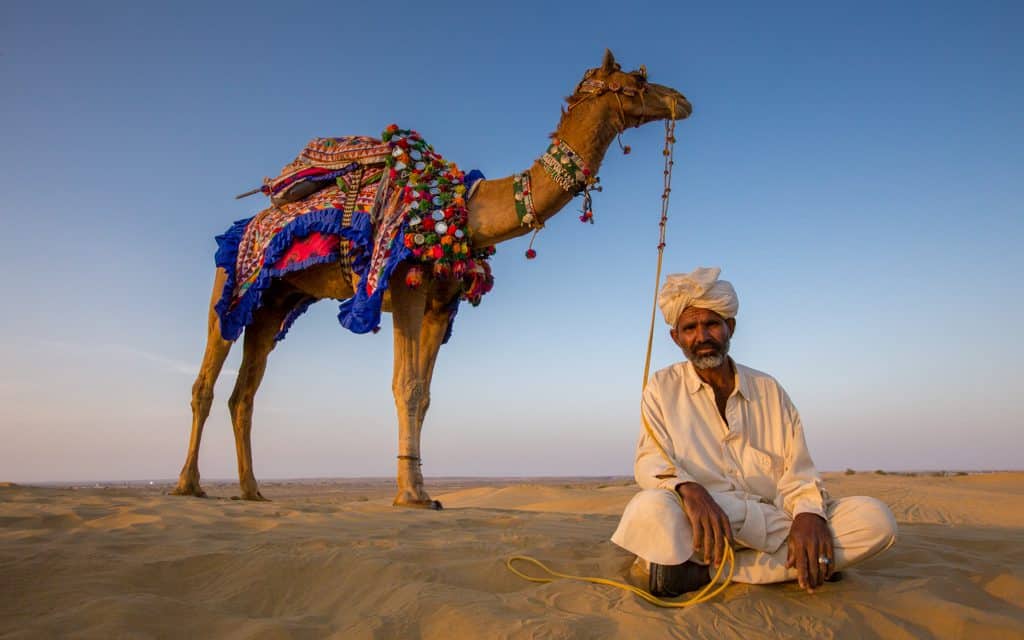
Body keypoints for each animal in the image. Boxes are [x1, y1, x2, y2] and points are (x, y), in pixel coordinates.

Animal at [172, 50, 692, 507]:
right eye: (637, 81)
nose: (682, 99)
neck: (463, 213)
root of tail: (246, 223)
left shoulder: (442, 304)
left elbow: (423, 395)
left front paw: (422, 489)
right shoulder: (405, 286)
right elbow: (405, 385)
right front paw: (409, 495)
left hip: (273, 303)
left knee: (244, 395)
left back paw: (251, 489)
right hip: (229, 284)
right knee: (205, 382)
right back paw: (188, 485)